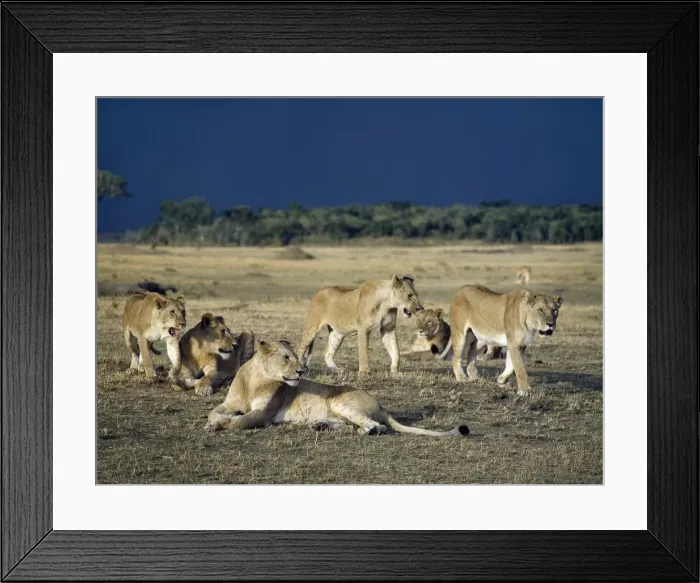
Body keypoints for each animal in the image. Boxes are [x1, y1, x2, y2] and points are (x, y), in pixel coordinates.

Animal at [205, 339, 470, 437]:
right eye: (286, 358)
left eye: (297, 358)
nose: (301, 372)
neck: (254, 380)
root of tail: (380, 403)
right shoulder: (229, 403)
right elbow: (214, 411)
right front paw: (213, 421)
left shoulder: (264, 413)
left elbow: (240, 421)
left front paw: (220, 425)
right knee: (348, 425)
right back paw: (320, 425)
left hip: (340, 401)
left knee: (378, 426)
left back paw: (366, 431)